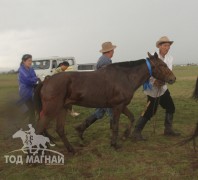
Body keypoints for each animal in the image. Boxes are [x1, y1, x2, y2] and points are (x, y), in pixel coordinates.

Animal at [34, 52, 176, 153]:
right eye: (162, 65)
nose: (173, 78)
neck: (125, 77)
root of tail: (46, 81)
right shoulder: (117, 106)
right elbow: (115, 125)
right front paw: (115, 144)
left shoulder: (121, 106)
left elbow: (131, 118)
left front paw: (125, 135)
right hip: (51, 110)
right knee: (39, 128)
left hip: (62, 108)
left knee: (59, 129)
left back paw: (71, 149)